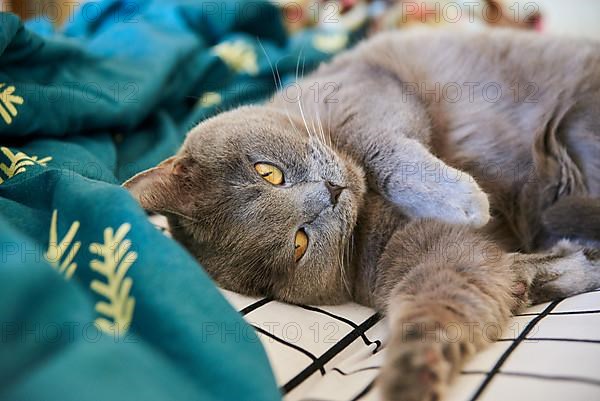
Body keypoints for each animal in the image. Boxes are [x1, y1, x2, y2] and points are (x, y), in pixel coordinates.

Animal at [124, 29, 600, 400]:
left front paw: (462, 200)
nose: (331, 194)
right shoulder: (435, 253)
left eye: (268, 172)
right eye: (300, 243)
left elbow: (374, 145)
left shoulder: (363, 87)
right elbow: (443, 301)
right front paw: (412, 376)